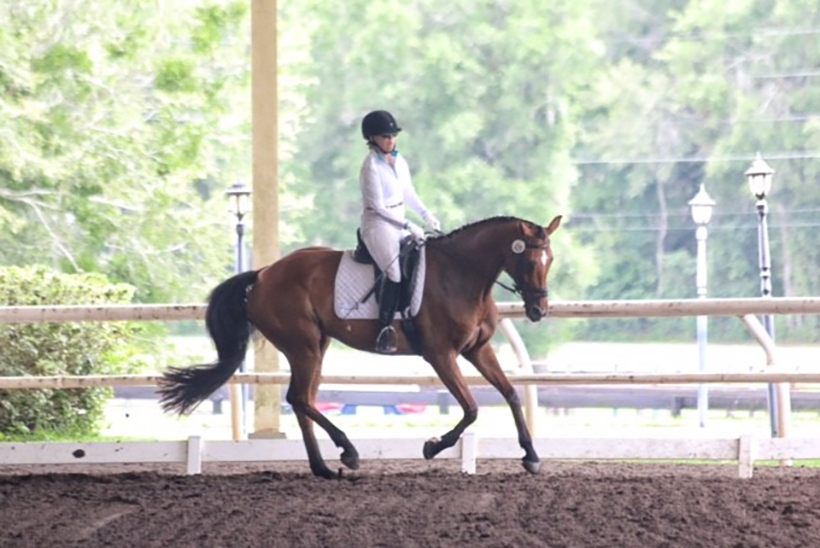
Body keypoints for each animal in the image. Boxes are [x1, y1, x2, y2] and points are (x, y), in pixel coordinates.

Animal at [158, 215, 560, 480]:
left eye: (550, 259)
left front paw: (531, 455)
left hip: (316, 347)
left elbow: (510, 394)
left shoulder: (478, 350)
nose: (539, 311)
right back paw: (347, 453)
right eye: (528, 259)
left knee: (302, 400)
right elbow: (472, 408)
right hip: (303, 346)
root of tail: (263, 274)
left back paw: (323, 467)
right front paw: (432, 447)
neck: (461, 276)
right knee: (300, 398)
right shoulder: (441, 355)